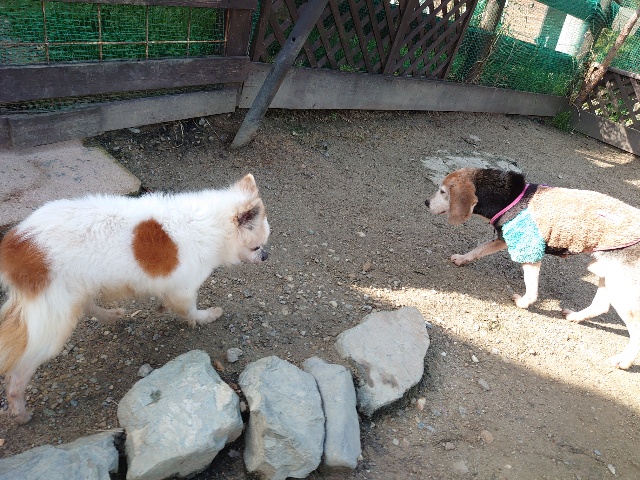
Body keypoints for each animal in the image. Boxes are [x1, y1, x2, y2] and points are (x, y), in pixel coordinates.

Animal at [0, 173, 270, 423]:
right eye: (257, 247)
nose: (266, 257)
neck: (211, 224)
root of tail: (16, 244)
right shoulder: (185, 288)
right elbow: (190, 310)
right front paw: (206, 317)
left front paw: (163, 308)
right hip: (54, 322)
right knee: (16, 374)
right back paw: (19, 410)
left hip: (74, 293)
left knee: (87, 306)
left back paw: (111, 316)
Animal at [426, 167, 640, 370]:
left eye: (443, 191)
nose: (426, 202)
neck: (511, 197)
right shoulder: (505, 238)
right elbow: (479, 249)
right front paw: (462, 259)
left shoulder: (529, 248)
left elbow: (531, 289)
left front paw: (523, 302)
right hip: (609, 274)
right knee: (601, 305)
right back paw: (575, 317)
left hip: (621, 287)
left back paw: (624, 361)